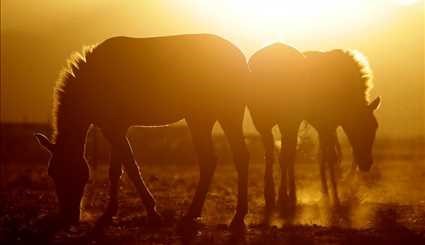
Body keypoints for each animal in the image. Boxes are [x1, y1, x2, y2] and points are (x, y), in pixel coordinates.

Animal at [35, 33, 252, 230]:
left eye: (72, 172)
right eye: (52, 173)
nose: (68, 218)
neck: (94, 80)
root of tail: (240, 58)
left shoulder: (113, 128)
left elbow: (131, 167)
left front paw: (153, 213)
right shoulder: (116, 127)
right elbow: (116, 171)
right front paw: (109, 214)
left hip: (216, 116)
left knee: (225, 159)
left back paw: (224, 217)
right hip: (209, 118)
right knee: (220, 159)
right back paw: (207, 215)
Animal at [247, 43, 380, 212]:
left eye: (375, 127)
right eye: (360, 126)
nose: (367, 163)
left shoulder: (324, 126)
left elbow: (322, 155)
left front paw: (327, 192)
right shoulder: (326, 124)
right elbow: (329, 156)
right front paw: (334, 198)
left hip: (267, 123)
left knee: (277, 155)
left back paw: (277, 195)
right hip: (286, 122)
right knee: (285, 155)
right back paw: (284, 196)